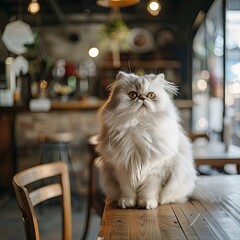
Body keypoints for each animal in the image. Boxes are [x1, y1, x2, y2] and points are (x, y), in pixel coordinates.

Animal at [96, 71, 197, 210]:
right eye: (133, 95)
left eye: (151, 95)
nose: (142, 98)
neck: (140, 127)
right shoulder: (123, 168)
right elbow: (128, 191)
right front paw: (127, 202)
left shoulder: (155, 171)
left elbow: (149, 190)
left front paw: (147, 203)